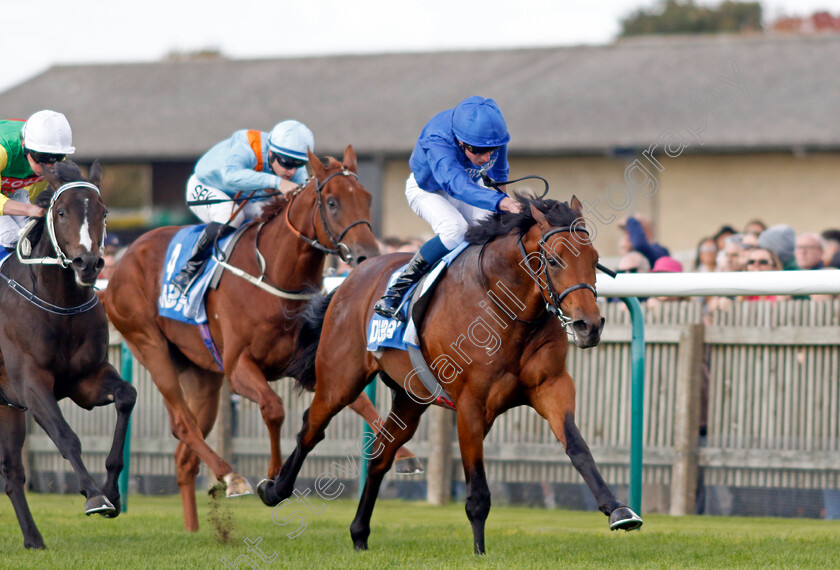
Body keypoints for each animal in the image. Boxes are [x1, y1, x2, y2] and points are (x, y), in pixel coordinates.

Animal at [0, 161, 135, 544]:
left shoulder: (85, 381)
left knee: (12, 473)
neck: (60, 304)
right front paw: (95, 495)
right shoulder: (31, 384)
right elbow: (67, 437)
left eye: (104, 212)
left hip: (6, 409)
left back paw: (34, 540)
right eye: (61, 212)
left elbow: (127, 396)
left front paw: (113, 491)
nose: (87, 263)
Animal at [103, 145, 416, 528]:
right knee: (182, 424)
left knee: (184, 455)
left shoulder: (308, 362)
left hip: (201, 373)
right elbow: (274, 408)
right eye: (331, 202)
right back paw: (232, 476)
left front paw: (404, 454)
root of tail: (122, 261)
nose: (366, 256)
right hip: (149, 345)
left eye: (367, 198)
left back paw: (195, 528)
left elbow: (358, 401)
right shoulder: (239, 368)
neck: (275, 277)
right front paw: (274, 474)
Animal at [260, 194, 644, 552]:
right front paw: (479, 552)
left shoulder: (551, 386)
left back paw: (359, 534)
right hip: (340, 380)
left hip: (410, 399)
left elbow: (577, 446)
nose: (588, 326)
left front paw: (618, 510)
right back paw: (273, 489)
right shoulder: (471, 405)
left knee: (382, 454)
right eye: (553, 260)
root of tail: (349, 279)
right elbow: (478, 491)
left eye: (594, 260)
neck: (503, 305)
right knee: (311, 428)